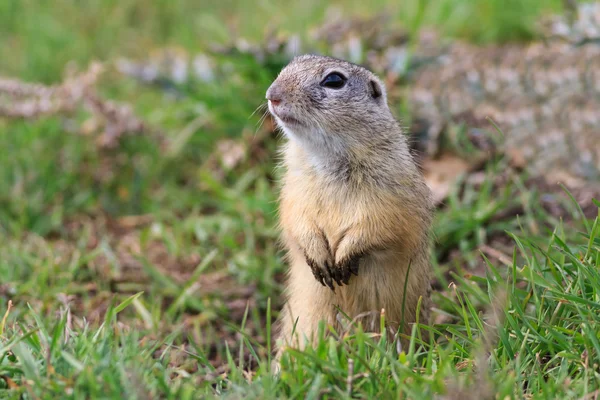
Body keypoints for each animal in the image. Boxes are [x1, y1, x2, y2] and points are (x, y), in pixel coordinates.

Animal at [266, 54, 432, 356]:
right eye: (291, 63)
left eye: (334, 80)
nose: (272, 95)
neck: (328, 158)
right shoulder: (293, 192)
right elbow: (296, 221)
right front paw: (318, 256)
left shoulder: (390, 198)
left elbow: (380, 227)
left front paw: (344, 257)